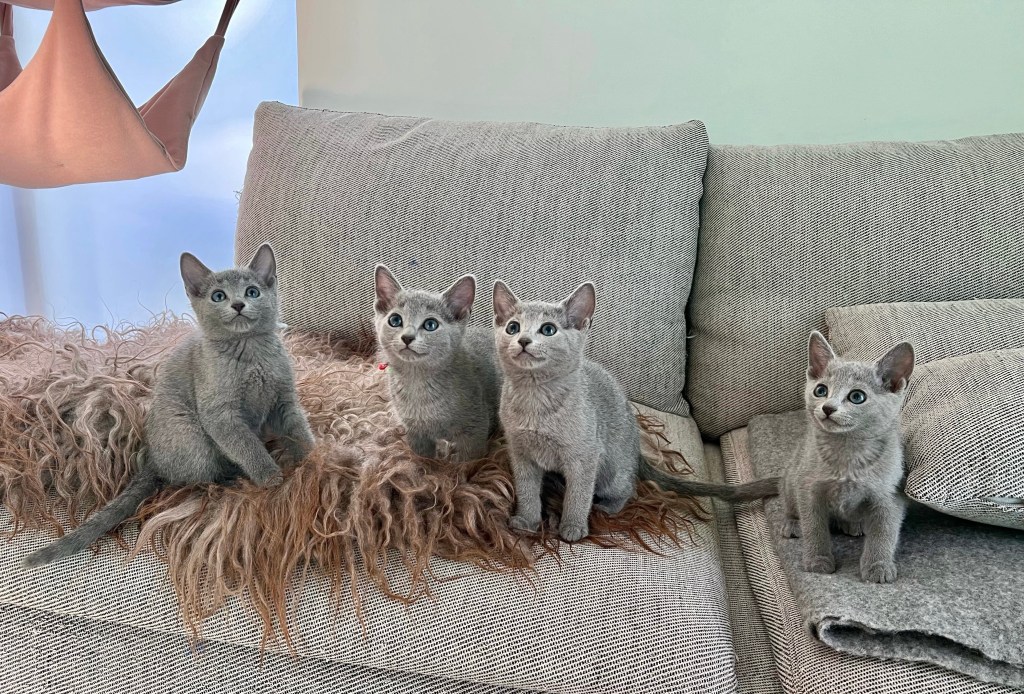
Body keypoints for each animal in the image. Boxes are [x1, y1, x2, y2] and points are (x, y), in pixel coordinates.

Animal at [23, 244, 315, 568]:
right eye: (218, 296)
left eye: (252, 292)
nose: (238, 304)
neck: (250, 352)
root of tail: (152, 458)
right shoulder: (219, 413)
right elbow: (245, 445)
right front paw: (269, 475)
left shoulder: (284, 399)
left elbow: (298, 429)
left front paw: (314, 459)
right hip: (189, 435)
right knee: (193, 477)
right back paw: (232, 476)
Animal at [374, 265, 502, 462]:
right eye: (395, 320)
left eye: (430, 325)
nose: (407, 337)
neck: (418, 383)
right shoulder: (414, 432)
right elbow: (423, 457)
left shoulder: (475, 428)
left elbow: (470, 460)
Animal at [492, 280, 780, 542]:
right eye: (513, 327)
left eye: (548, 329)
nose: (523, 340)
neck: (535, 398)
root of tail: (637, 449)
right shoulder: (520, 453)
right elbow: (527, 491)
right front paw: (527, 522)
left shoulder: (585, 456)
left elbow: (579, 495)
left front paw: (572, 527)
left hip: (611, 470)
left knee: (627, 488)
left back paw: (607, 507)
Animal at [778, 330, 914, 584]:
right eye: (820, 390)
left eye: (857, 396)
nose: (827, 408)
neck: (848, 452)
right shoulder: (808, 488)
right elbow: (814, 526)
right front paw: (818, 560)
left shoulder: (890, 494)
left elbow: (884, 532)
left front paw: (878, 566)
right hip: (792, 476)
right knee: (790, 502)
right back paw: (792, 522)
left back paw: (854, 524)